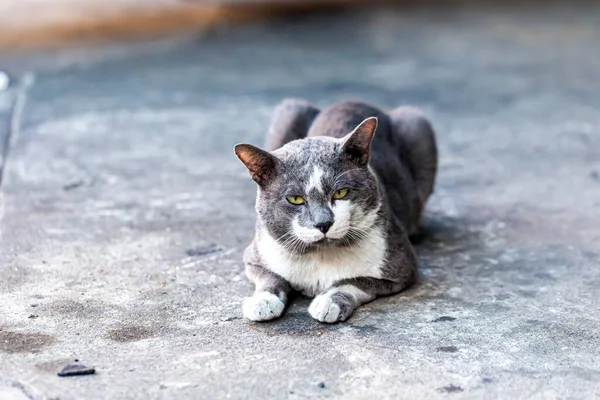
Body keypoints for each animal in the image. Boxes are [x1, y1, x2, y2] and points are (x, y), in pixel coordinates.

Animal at [233, 98, 436, 324]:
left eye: (340, 193)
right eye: (295, 199)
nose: (323, 223)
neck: (320, 255)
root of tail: (350, 101)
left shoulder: (401, 268)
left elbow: (355, 281)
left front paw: (328, 302)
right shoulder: (254, 255)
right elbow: (270, 276)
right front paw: (262, 302)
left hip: (417, 125)